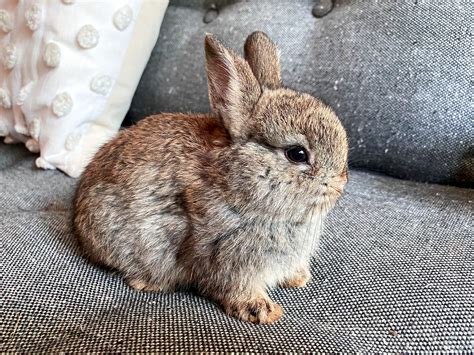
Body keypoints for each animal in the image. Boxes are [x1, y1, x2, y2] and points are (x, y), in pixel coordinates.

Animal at [74, 32, 348, 324]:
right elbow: (234, 287)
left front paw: (298, 279)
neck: (236, 181)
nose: (340, 185)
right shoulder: (227, 257)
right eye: (297, 154)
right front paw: (263, 311)